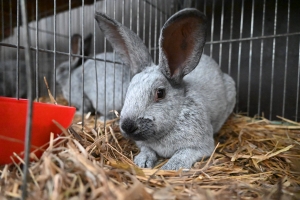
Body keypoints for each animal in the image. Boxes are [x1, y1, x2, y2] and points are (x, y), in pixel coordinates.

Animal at [95, 8, 236, 170]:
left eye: (160, 93)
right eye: (128, 90)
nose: (127, 126)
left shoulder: (201, 146)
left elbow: (183, 154)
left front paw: (171, 167)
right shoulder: (144, 145)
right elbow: (147, 150)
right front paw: (142, 161)